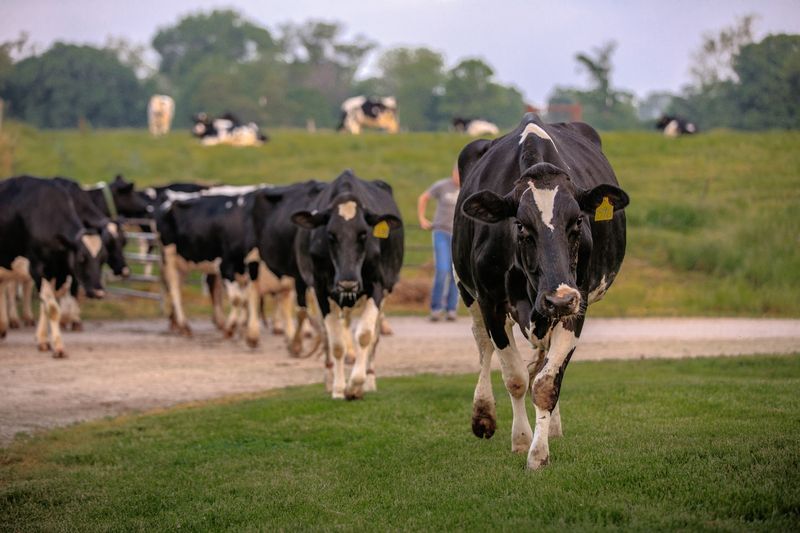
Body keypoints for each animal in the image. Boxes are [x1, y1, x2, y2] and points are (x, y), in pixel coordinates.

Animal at [0, 176, 108, 357]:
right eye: (81, 258)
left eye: (102, 258)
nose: (99, 292)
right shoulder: (37, 269)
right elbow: (52, 308)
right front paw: (58, 347)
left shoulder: (57, 273)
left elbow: (46, 306)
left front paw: (43, 341)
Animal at [291, 170, 404, 399]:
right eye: (330, 235)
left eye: (364, 234)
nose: (348, 282)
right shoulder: (320, 289)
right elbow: (336, 343)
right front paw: (339, 388)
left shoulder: (377, 286)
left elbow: (365, 336)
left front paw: (356, 385)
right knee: (327, 335)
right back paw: (330, 379)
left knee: (374, 335)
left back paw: (369, 378)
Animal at [452, 113, 629, 469]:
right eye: (521, 226)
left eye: (578, 223)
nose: (558, 298)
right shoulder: (491, 302)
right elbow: (515, 378)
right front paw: (521, 440)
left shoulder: (578, 302)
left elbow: (547, 382)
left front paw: (538, 451)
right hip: (468, 293)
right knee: (482, 345)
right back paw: (483, 415)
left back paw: (553, 426)